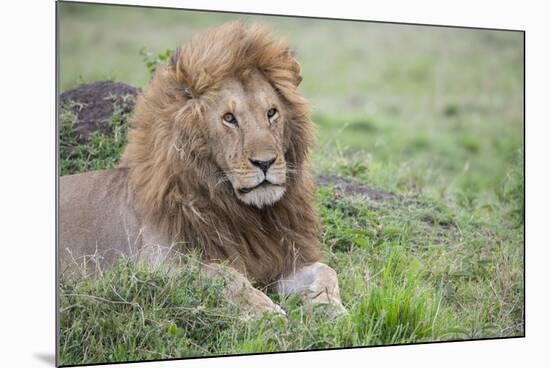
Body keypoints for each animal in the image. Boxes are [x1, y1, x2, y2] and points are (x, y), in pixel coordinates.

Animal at [59, 21, 344, 318]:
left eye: (271, 113)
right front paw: (270, 314)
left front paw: (333, 310)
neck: (248, 216)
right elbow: (227, 277)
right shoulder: (156, 265)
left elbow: (326, 271)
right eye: (229, 118)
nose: (265, 163)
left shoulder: (284, 257)